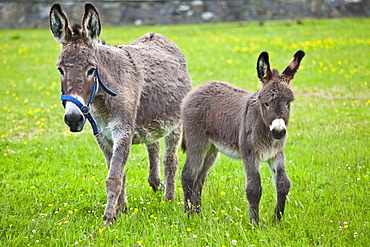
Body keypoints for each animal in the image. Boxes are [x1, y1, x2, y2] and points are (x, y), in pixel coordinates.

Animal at [181, 50, 304, 224]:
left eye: (288, 104)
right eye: (266, 104)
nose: (279, 132)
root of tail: (200, 87)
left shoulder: (276, 153)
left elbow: (283, 184)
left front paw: (277, 220)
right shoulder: (250, 154)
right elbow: (254, 188)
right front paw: (255, 224)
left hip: (211, 149)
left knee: (199, 178)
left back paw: (197, 214)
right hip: (197, 143)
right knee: (189, 175)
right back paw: (188, 215)